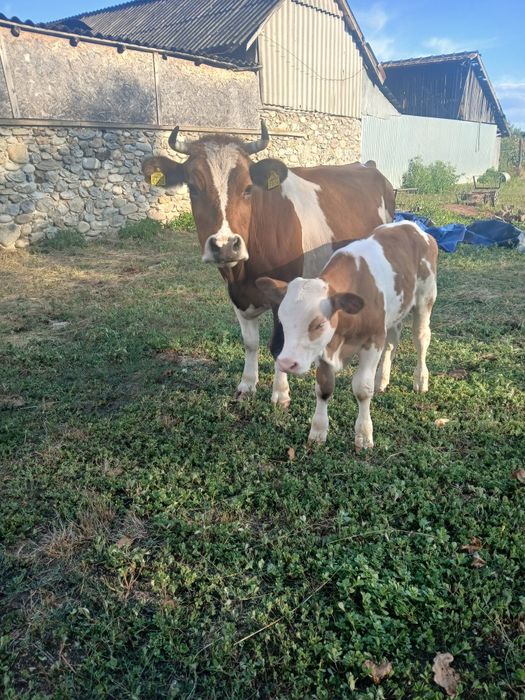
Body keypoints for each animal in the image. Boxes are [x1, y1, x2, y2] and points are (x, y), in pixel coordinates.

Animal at [142, 121, 395, 406]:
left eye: (248, 188)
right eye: (193, 188)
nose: (225, 245)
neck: (244, 273)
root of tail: (369, 166)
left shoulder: (283, 295)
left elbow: (278, 344)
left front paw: (281, 394)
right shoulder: (237, 295)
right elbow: (250, 342)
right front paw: (247, 384)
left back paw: (381, 379)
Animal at [256, 221, 438, 451]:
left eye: (319, 323)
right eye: (282, 319)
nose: (287, 363)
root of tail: (413, 226)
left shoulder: (373, 340)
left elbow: (362, 389)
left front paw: (364, 435)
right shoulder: (324, 349)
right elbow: (323, 388)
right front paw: (318, 431)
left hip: (425, 299)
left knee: (421, 339)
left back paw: (420, 380)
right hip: (394, 315)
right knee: (391, 344)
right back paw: (382, 379)